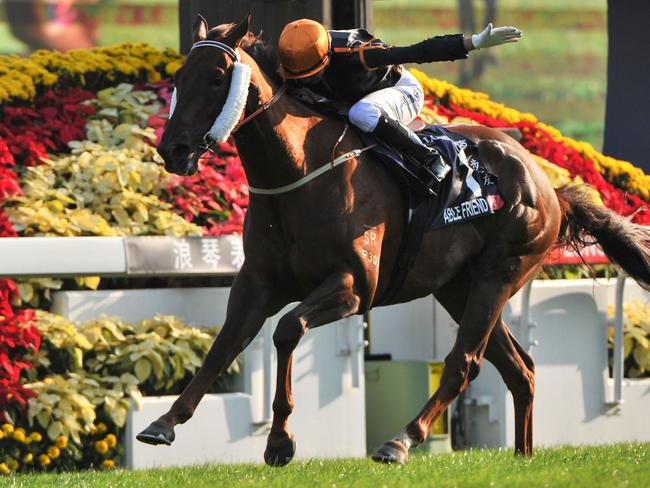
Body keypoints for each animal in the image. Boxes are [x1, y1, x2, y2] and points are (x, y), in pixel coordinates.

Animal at [137, 15, 648, 466]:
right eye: (180, 76)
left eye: (218, 77)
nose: (173, 149)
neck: (298, 171)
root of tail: (549, 187)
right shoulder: (257, 283)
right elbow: (224, 346)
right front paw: (164, 423)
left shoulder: (354, 286)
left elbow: (286, 329)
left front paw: (280, 441)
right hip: (458, 286)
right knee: (519, 369)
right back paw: (522, 457)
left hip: (500, 273)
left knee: (464, 362)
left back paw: (400, 442)